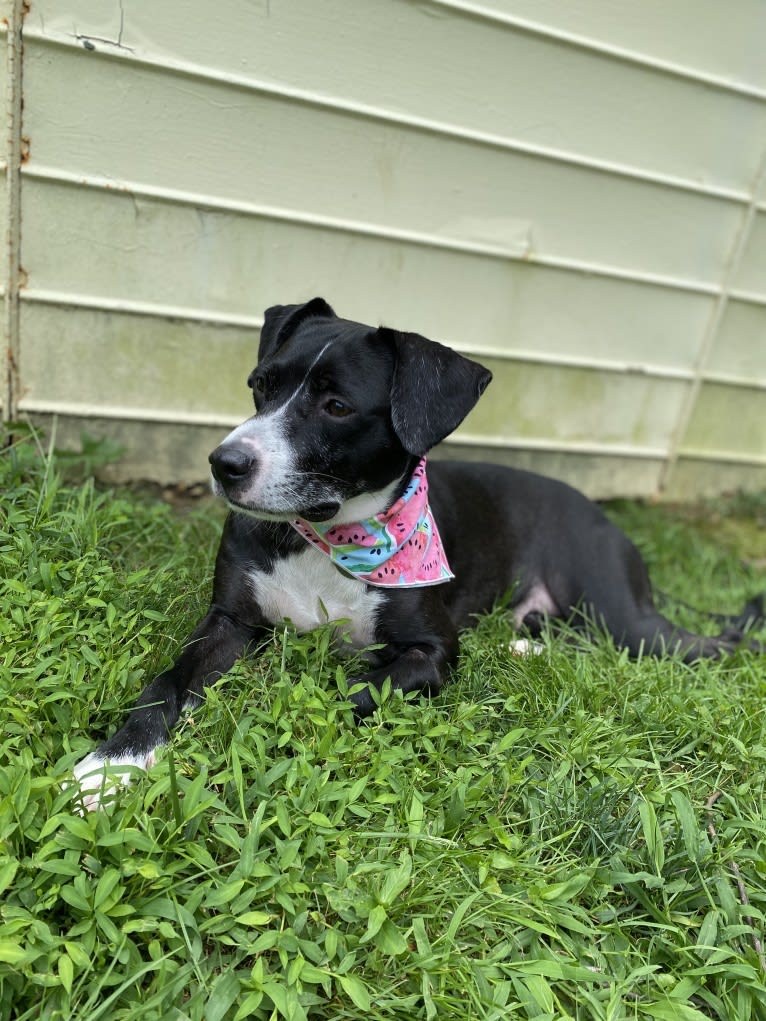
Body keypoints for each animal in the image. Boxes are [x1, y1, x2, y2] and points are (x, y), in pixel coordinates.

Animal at [70, 298, 763, 808]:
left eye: (337, 405)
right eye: (260, 386)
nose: (224, 463)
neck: (331, 536)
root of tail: (601, 514)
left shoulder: (432, 654)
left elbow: (349, 690)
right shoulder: (230, 621)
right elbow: (168, 683)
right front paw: (111, 765)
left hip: (630, 620)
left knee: (718, 642)